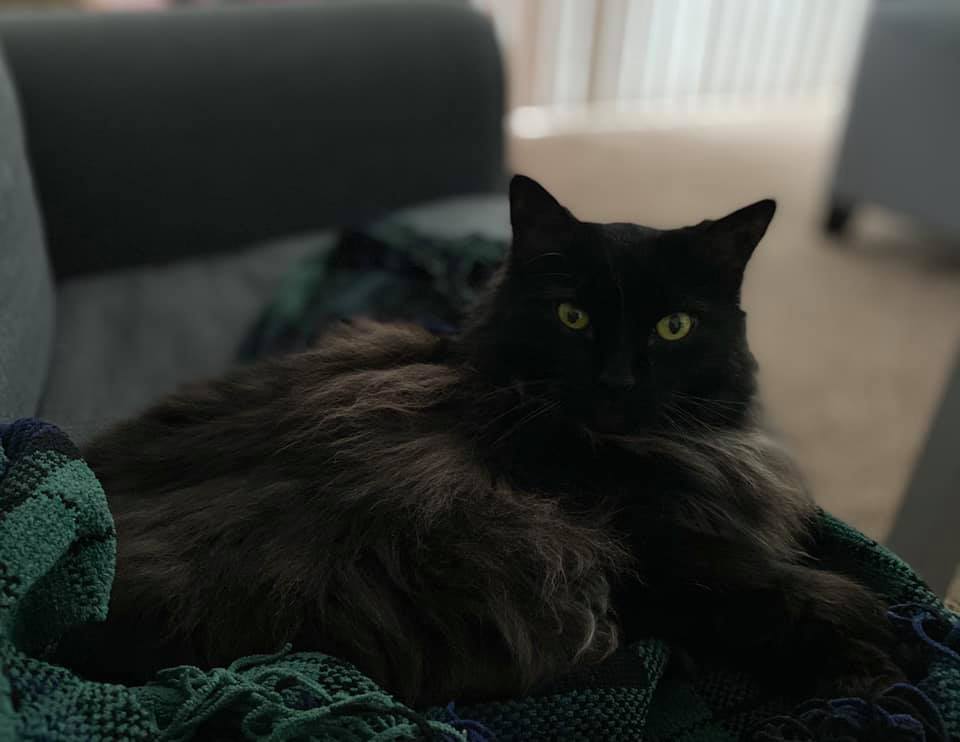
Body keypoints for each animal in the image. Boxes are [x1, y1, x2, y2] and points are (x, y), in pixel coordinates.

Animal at [58, 174, 900, 708]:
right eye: (572, 316)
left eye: (674, 327)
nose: (619, 381)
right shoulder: (647, 560)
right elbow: (765, 596)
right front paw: (863, 658)